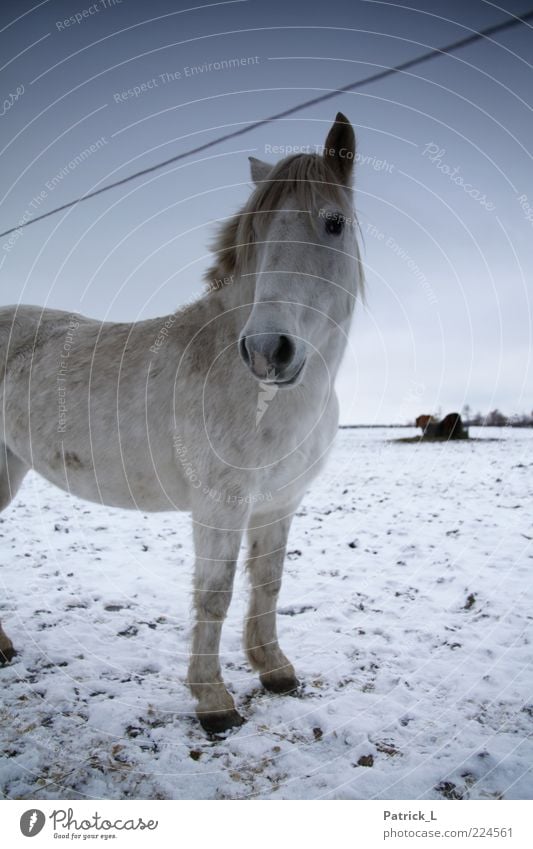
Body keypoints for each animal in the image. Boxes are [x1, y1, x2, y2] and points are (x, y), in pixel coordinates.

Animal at [0, 112, 362, 732]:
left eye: (333, 223)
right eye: (257, 234)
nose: (268, 350)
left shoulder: (278, 502)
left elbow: (268, 583)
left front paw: (275, 671)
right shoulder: (221, 505)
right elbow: (214, 593)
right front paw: (213, 702)